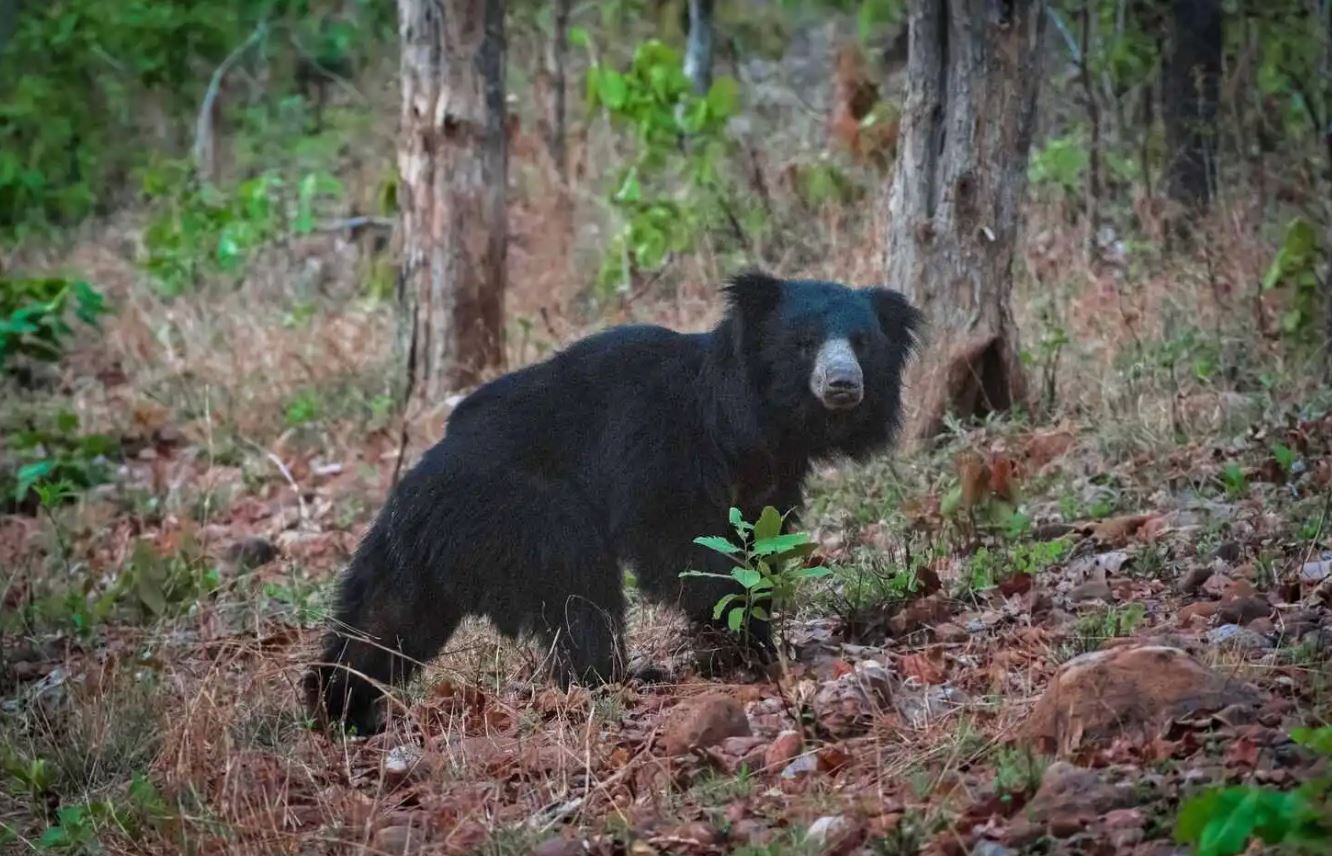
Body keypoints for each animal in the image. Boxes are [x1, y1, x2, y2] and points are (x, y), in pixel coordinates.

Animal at [305, 270, 920, 733]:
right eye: (805, 342)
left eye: (862, 343)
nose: (843, 383)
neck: (758, 421)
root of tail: (416, 494)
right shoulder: (656, 441)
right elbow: (679, 539)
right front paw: (748, 640)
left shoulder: (770, 477)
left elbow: (759, 539)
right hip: (522, 513)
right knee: (577, 587)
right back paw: (614, 676)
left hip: (423, 560)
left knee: (382, 621)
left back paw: (340, 704)